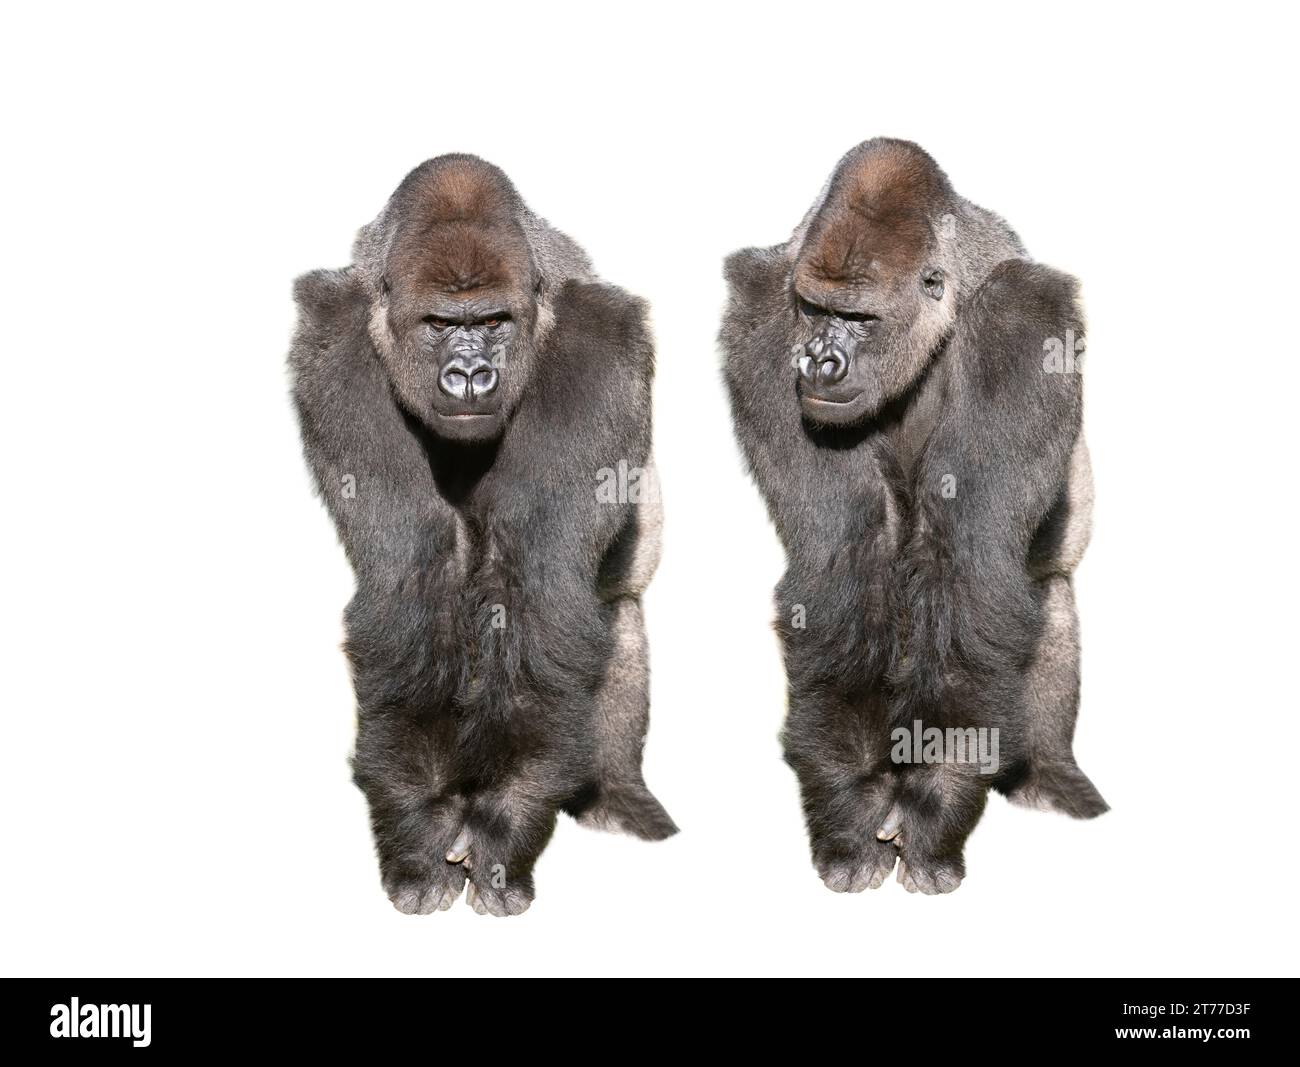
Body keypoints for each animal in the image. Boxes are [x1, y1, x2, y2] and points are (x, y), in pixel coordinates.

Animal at [289, 155, 676, 917]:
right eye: (441, 323)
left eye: (494, 322)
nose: (470, 375)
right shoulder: (335, 351)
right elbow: (412, 583)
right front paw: (418, 830)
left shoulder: (600, 350)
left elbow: (541, 596)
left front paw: (507, 824)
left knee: (619, 615)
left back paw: (615, 795)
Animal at [722, 138, 1106, 895]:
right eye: (812, 309)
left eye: (861, 319)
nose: (820, 362)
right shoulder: (762, 320)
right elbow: (839, 564)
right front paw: (850, 804)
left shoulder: (1025, 324)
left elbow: (973, 576)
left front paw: (937, 802)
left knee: (1048, 595)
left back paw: (1047, 777)